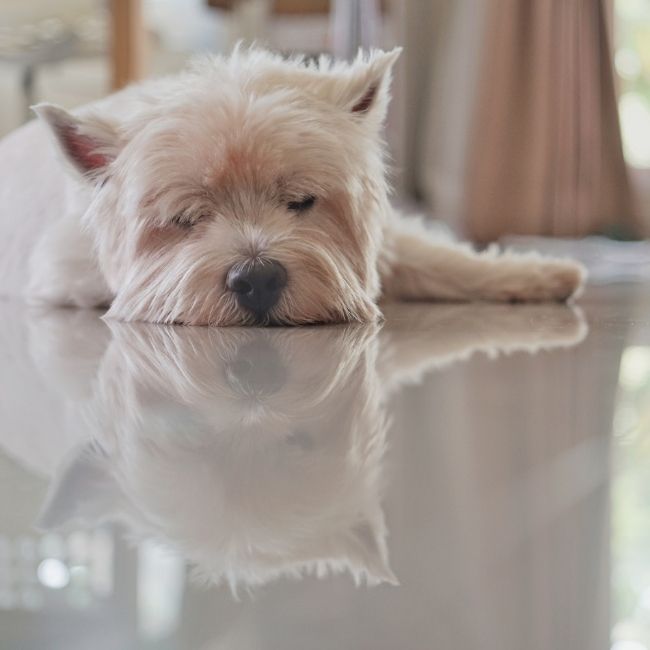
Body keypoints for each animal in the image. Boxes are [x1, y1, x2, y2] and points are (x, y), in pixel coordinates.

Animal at [0, 46, 584, 324]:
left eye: (301, 201)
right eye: (186, 220)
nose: (256, 279)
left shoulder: (389, 240)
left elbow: (440, 258)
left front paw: (537, 274)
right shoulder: (64, 273)